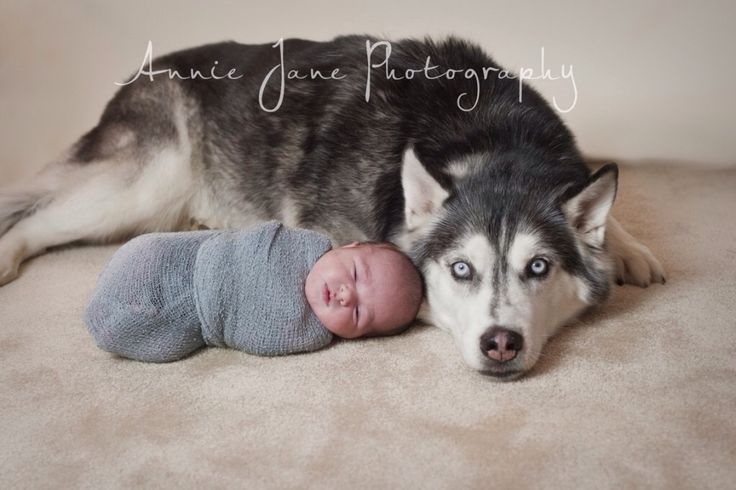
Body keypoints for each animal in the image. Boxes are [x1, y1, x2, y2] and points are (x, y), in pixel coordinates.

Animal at [0, 35, 664, 378]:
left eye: (538, 268)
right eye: (461, 270)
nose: (500, 342)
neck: (492, 140)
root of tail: (144, 71)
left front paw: (629, 249)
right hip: (145, 185)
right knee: (36, 216)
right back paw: (6, 255)